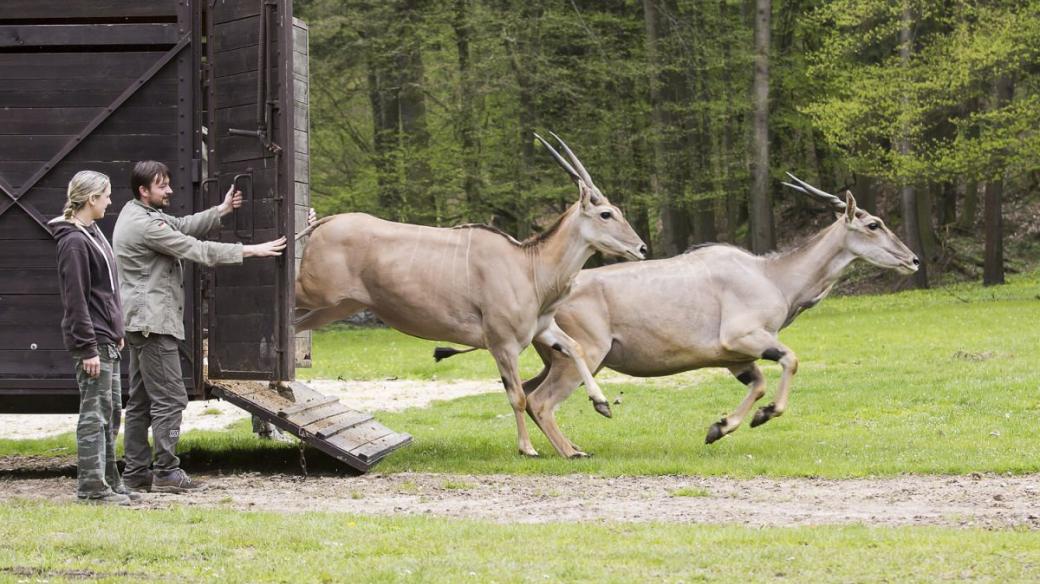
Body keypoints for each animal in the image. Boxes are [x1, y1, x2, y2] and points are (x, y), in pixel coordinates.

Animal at [295, 133, 648, 455]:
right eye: (605, 214)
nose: (642, 248)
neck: (528, 265)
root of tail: (325, 222)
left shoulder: (543, 329)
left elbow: (575, 348)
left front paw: (602, 403)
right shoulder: (503, 344)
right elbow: (518, 396)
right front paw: (527, 448)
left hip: (335, 308)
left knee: (294, 327)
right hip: (312, 295)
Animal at [438, 174, 919, 457]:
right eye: (873, 224)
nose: (913, 259)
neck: (773, 275)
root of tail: (546, 294)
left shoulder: (735, 359)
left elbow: (759, 382)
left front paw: (719, 426)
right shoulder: (743, 339)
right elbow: (789, 362)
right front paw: (756, 418)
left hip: (555, 358)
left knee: (524, 392)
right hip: (584, 358)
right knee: (540, 400)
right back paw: (572, 450)